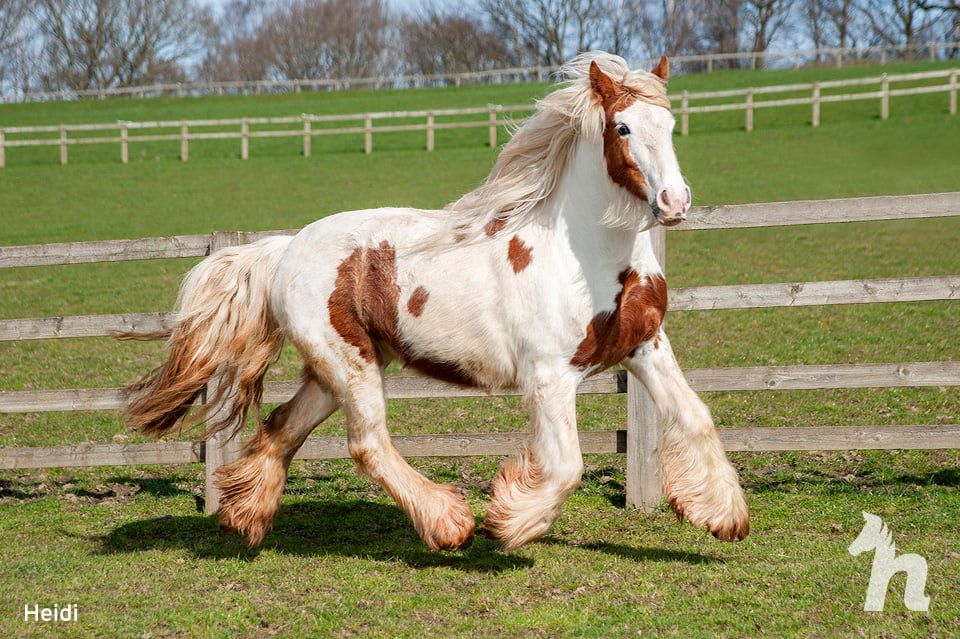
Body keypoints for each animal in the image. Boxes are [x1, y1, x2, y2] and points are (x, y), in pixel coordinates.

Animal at [120, 53, 752, 556]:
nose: (674, 202)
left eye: (670, 124)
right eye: (622, 127)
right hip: (351, 362)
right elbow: (566, 465)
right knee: (368, 443)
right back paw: (450, 524)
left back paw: (243, 518)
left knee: (282, 426)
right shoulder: (549, 376)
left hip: (338, 367)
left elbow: (697, 416)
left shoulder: (645, 347)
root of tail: (285, 249)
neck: (588, 257)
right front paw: (507, 525)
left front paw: (723, 515)